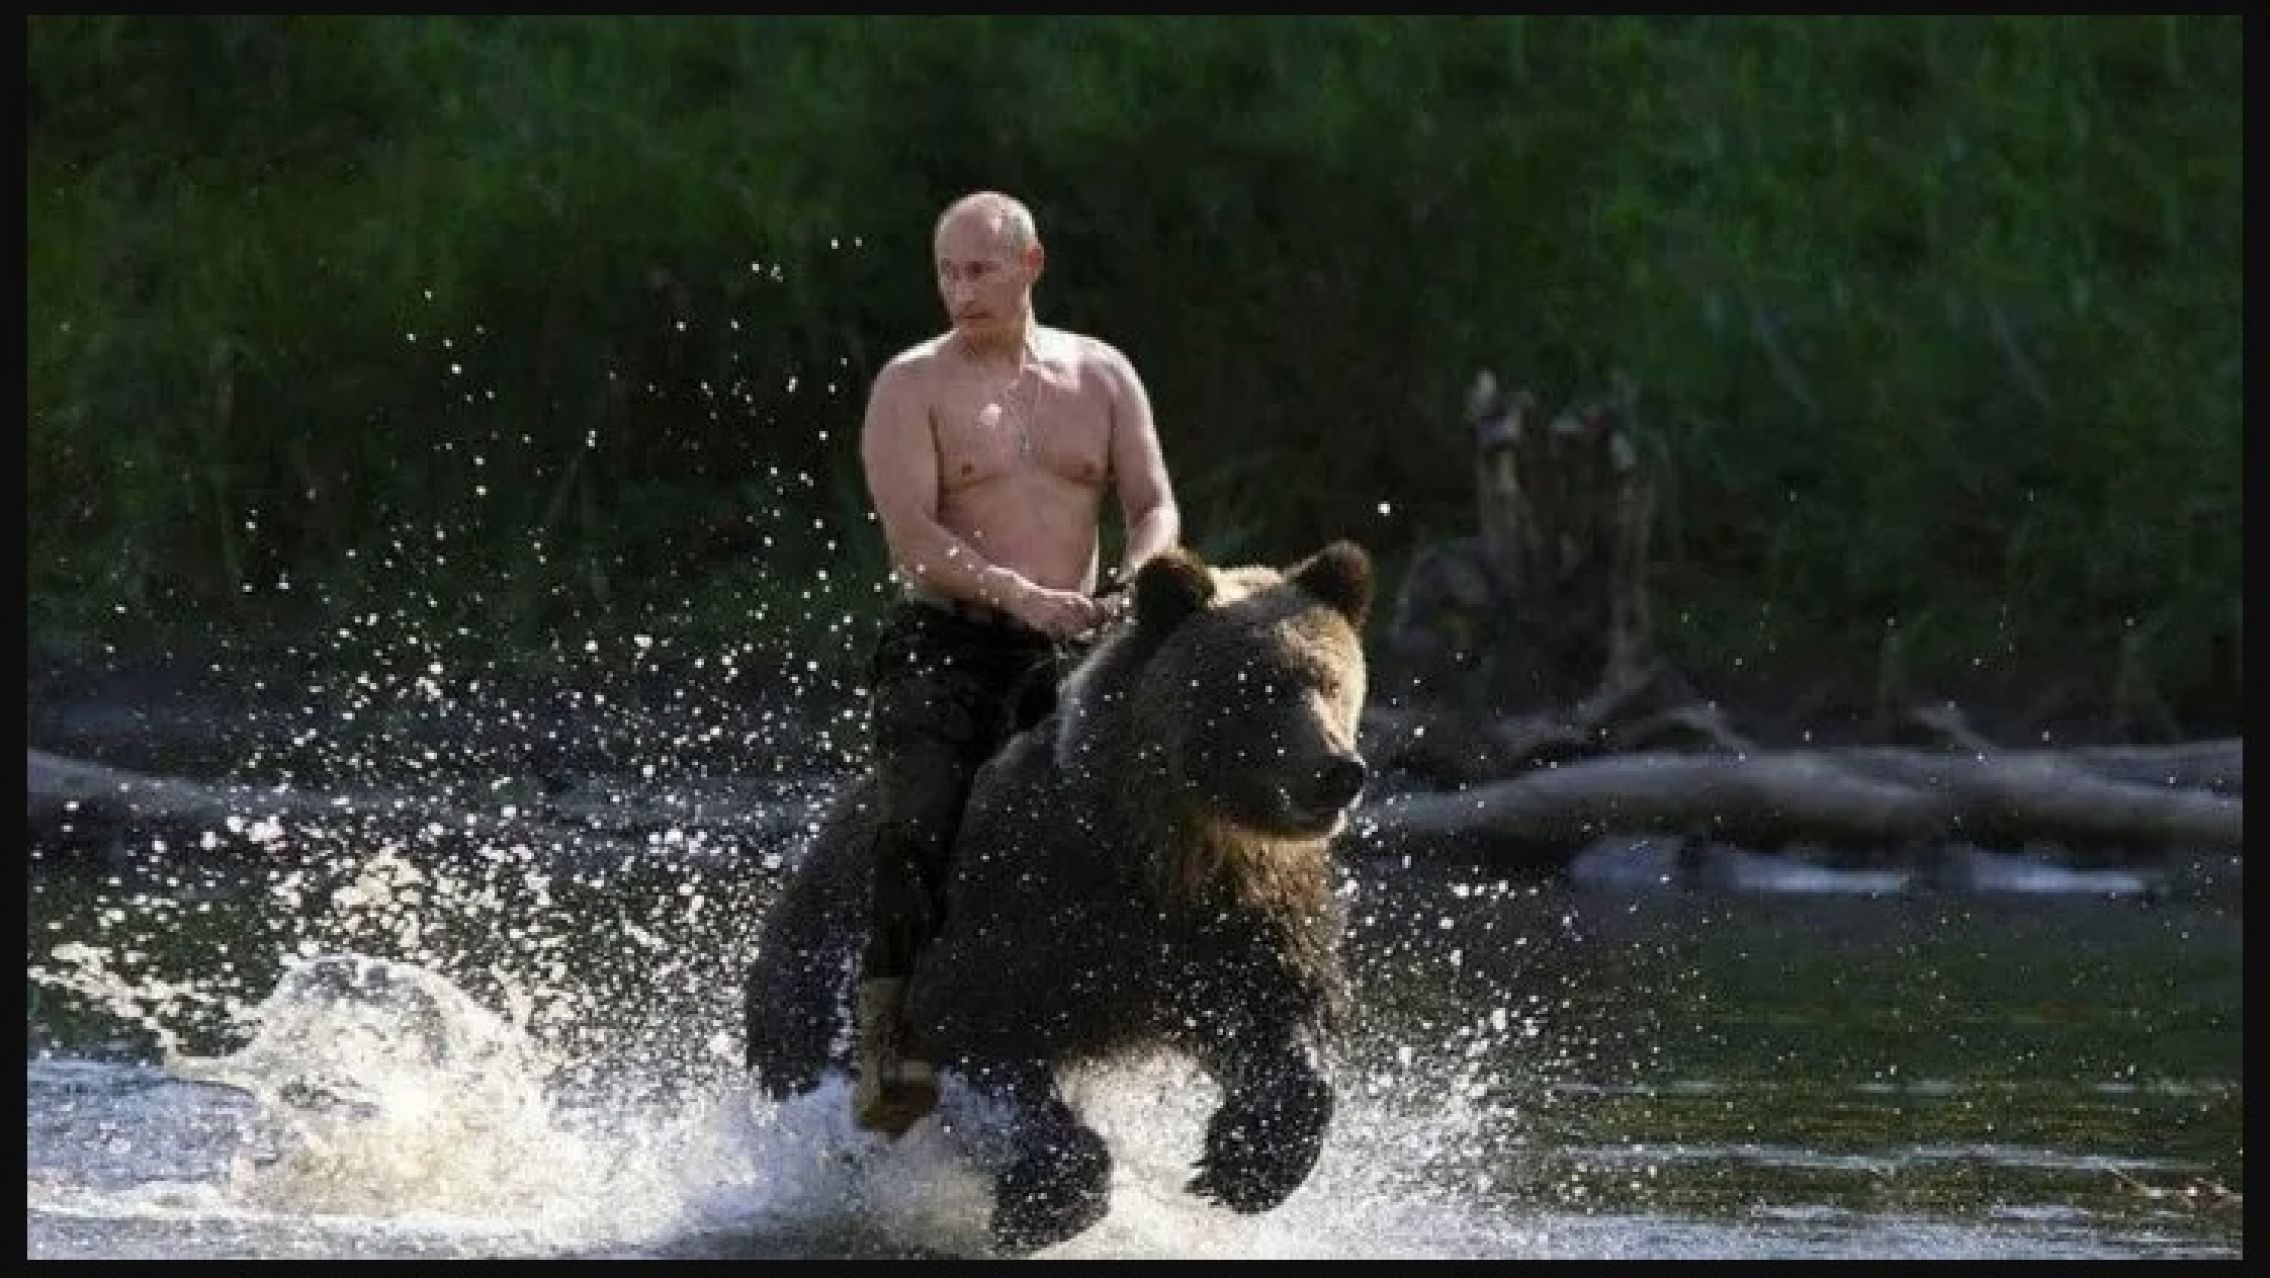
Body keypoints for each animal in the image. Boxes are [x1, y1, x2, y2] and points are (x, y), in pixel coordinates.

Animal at [742, 539, 1375, 1253]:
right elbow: (976, 1028)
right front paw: (1044, 1204)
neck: (1166, 844)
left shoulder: (1234, 919)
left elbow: (1277, 1017)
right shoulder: (1026, 901)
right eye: (1259, 687)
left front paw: (1244, 1163)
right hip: (822, 964)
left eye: (1331, 681)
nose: (1337, 771)